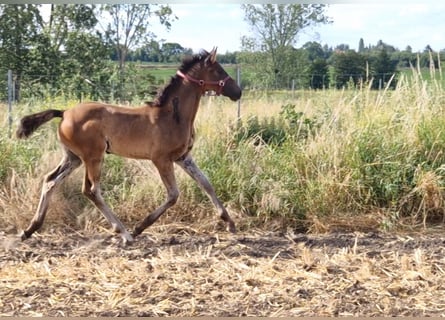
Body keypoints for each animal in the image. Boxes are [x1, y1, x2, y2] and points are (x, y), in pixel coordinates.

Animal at [15, 47, 241, 244]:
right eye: (218, 70)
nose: (238, 91)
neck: (171, 116)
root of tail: (64, 113)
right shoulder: (161, 159)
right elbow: (173, 195)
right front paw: (139, 228)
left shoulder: (183, 157)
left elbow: (206, 183)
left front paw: (230, 223)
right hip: (93, 156)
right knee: (91, 190)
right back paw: (124, 233)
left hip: (74, 157)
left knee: (51, 181)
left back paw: (29, 230)